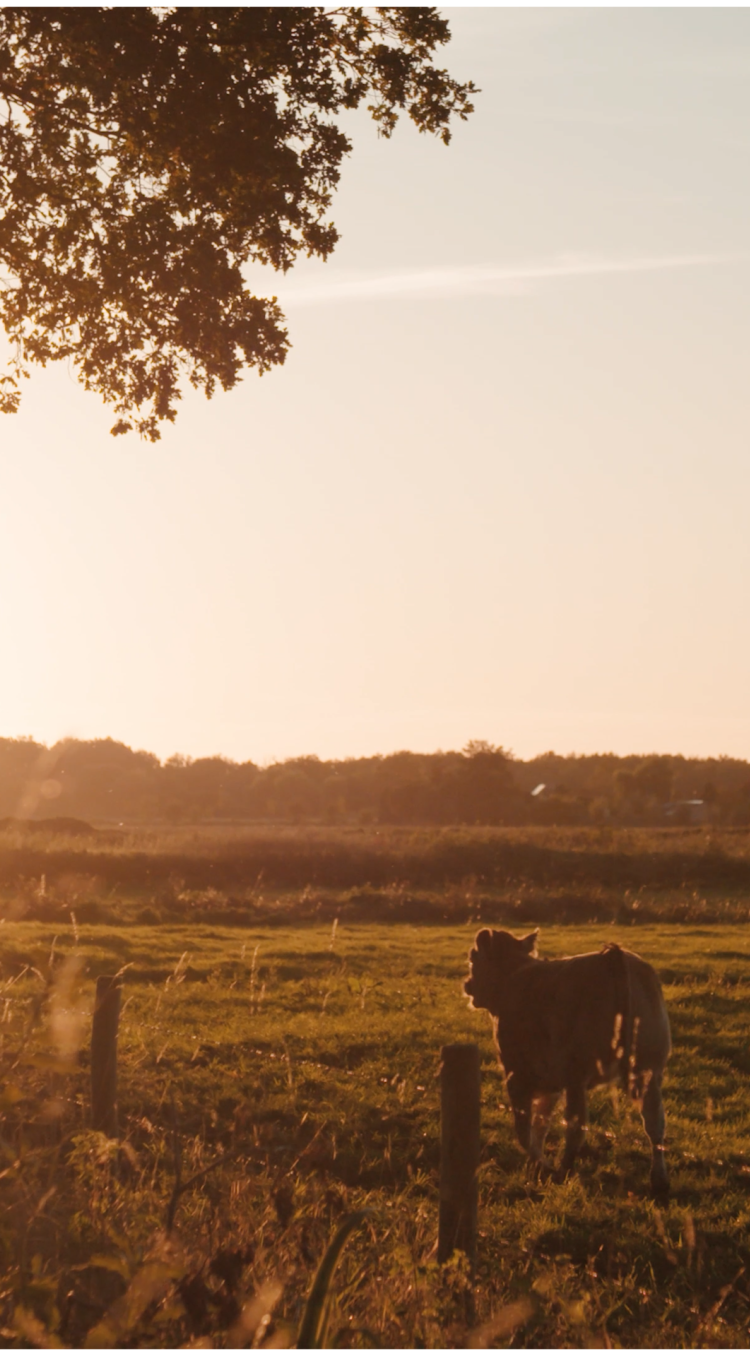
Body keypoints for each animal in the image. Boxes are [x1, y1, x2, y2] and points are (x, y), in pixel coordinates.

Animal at [464, 928, 671, 1194]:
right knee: (655, 1124)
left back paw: (563, 1171)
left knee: (575, 1127)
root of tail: (612, 955)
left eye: (473, 959)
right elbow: (540, 1125)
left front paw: (540, 1165)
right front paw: (536, 1165)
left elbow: (525, 1128)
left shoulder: (516, 1073)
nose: (467, 984)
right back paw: (659, 1179)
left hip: (577, 1078)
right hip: (648, 1071)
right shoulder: (549, 1084)